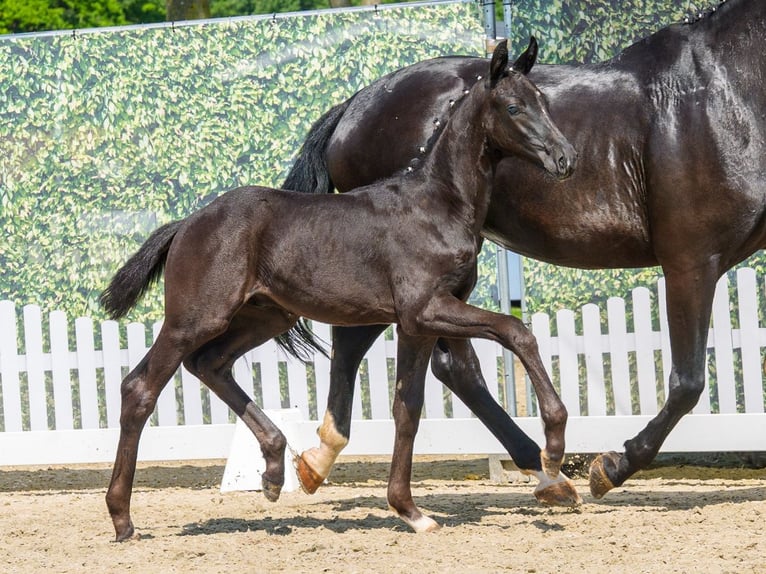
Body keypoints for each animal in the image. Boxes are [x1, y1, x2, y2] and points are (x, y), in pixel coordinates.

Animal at [99, 39, 578, 541]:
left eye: (544, 102)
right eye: (513, 107)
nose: (566, 159)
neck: (439, 204)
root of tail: (187, 223)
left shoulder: (417, 325)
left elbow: (408, 409)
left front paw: (410, 510)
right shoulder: (426, 308)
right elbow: (516, 330)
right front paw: (554, 448)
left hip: (265, 315)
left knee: (209, 364)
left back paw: (275, 470)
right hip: (195, 318)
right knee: (140, 388)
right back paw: (122, 517)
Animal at [286, 0, 766, 501]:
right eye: (514, 107)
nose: (565, 158)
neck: (726, 89)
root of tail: (353, 105)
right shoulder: (691, 261)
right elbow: (688, 382)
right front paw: (611, 467)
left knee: (421, 359)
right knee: (432, 360)